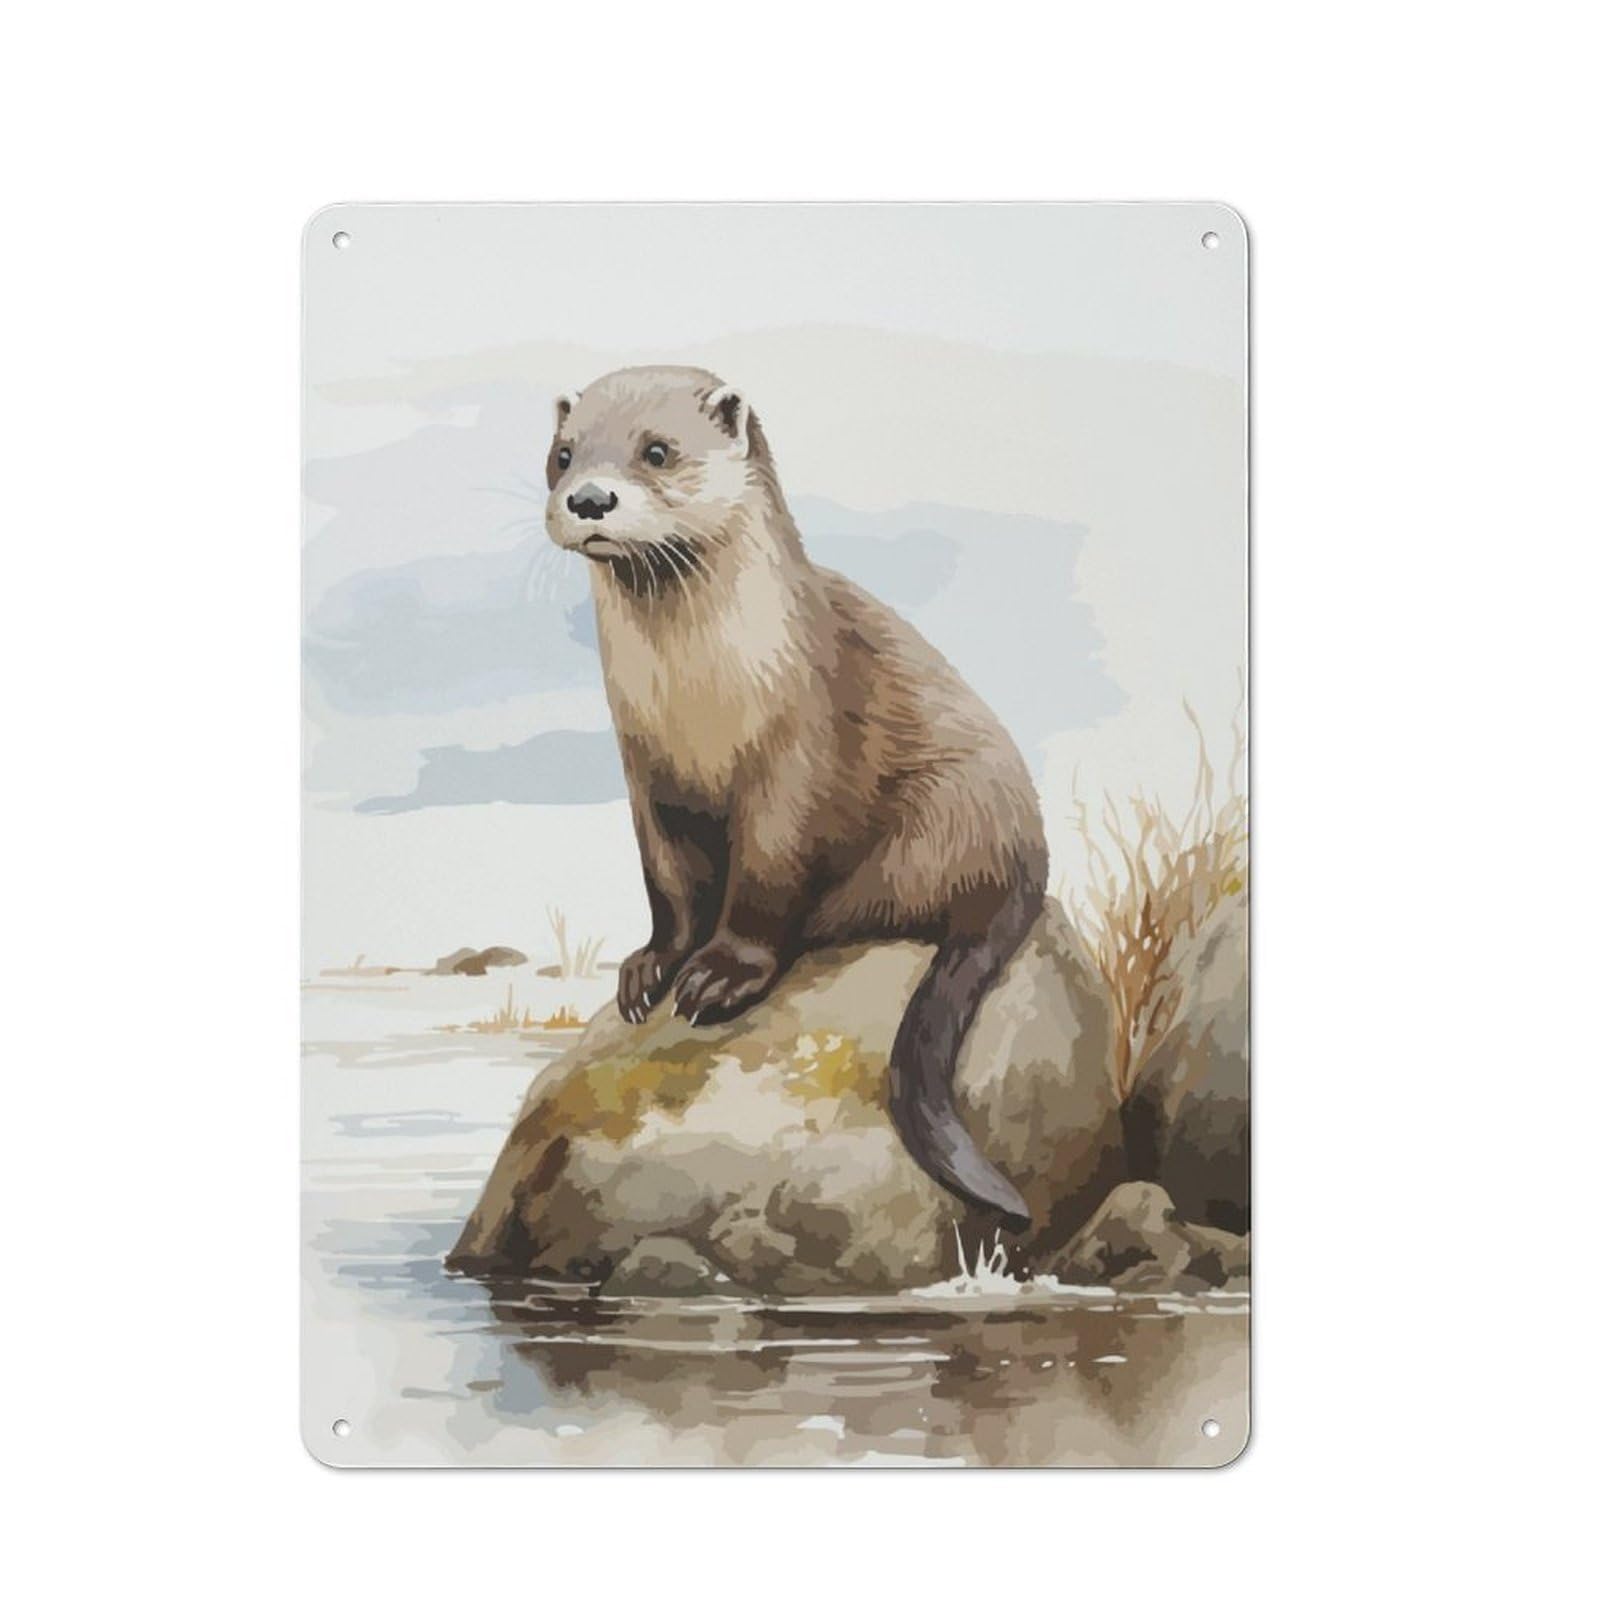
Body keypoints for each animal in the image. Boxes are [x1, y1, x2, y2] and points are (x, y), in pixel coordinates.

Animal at [544, 366, 1047, 1226]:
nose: (589, 498)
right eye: (564, 453)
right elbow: (668, 883)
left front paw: (719, 975)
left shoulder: (795, 762)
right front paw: (652, 966)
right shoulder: (647, 778)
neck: (700, 709)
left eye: (658, 450)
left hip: (946, 815)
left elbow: (766, 880)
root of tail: (1024, 854)